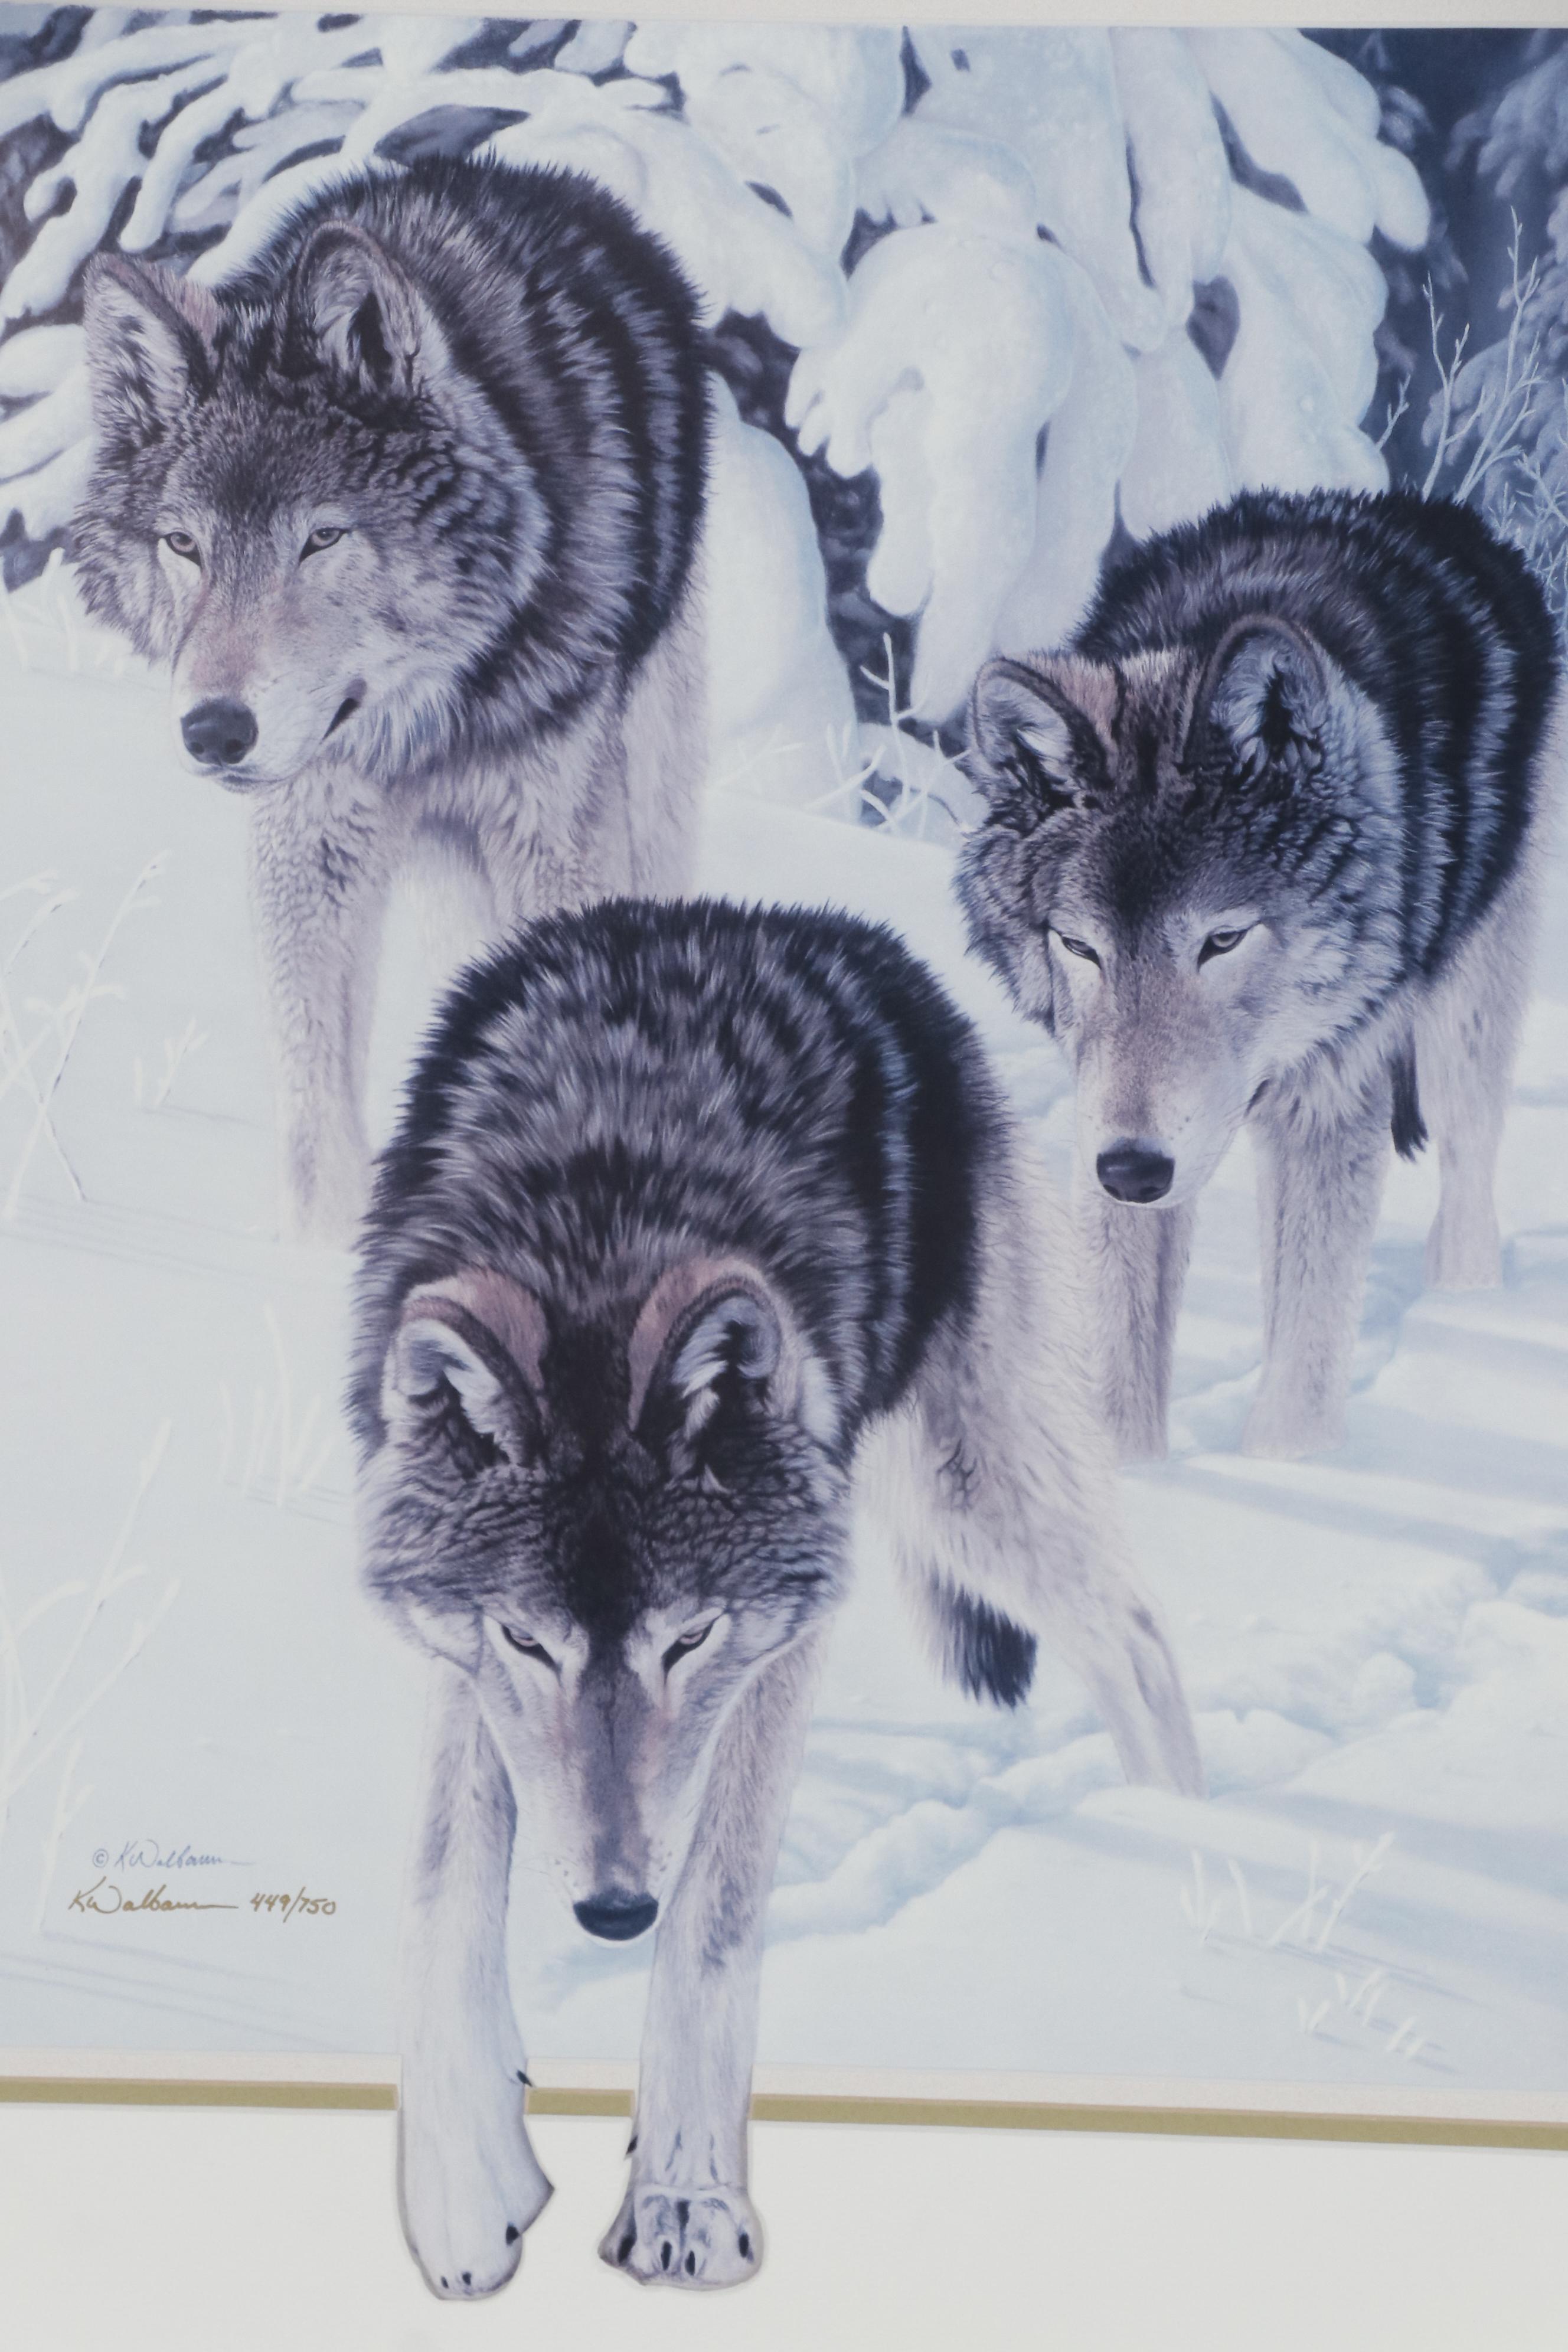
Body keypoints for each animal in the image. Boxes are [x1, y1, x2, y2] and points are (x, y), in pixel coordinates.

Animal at [75, 156, 709, 1245]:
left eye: (321, 539)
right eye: (185, 545)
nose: (214, 732)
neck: (422, 720)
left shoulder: (555, 836)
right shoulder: (311, 832)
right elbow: (314, 1103)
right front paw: (320, 1253)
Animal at [347, 896, 1202, 2298]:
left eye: (686, 1638)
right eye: (530, 1639)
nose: (608, 1910)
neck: (602, 1228)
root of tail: (765, 918)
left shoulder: (780, 1629)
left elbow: (714, 1908)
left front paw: (684, 2203)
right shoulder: (459, 1650)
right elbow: (437, 1884)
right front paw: (467, 2196)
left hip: (963, 1489)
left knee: (1133, 1636)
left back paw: (1188, 1842)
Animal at [957, 488, 1561, 1462]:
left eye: (1223, 939)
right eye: (1081, 948)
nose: (1132, 1171)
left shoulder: (1333, 1094)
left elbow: (1306, 1365)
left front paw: (1290, 1473)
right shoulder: (1111, 1115)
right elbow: (1124, 1356)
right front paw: (1140, 1483)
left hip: (1458, 1022)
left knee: (1469, 1165)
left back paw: (1464, 1300)